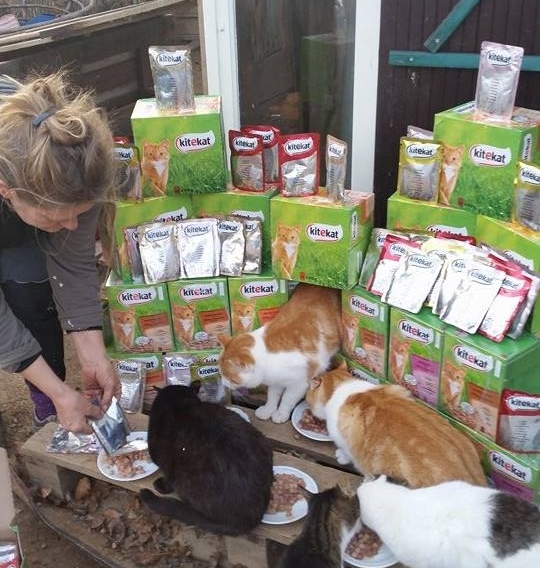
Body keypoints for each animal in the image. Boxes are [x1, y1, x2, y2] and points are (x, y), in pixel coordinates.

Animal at [218, 283, 341, 423]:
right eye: (220, 373)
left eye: (231, 379)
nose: (223, 384)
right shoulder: (276, 380)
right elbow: (273, 395)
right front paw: (268, 409)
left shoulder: (299, 384)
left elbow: (287, 399)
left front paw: (281, 413)